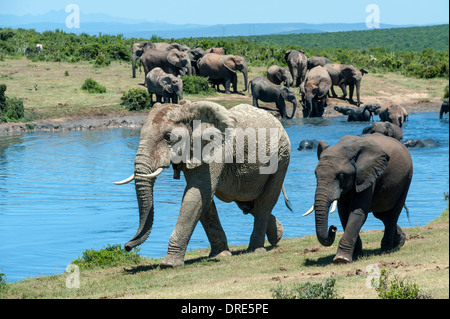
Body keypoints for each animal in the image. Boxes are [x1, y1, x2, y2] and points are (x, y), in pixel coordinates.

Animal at [113, 101, 292, 268]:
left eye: (168, 137)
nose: (127, 247)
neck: (189, 111)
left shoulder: (214, 150)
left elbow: (196, 195)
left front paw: (168, 264)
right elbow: (204, 199)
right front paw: (220, 255)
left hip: (282, 157)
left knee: (264, 203)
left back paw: (255, 249)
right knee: (247, 204)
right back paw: (278, 235)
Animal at [304, 134, 414, 264]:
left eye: (341, 176)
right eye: (316, 174)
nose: (333, 228)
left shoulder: (367, 174)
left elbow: (357, 212)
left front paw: (341, 259)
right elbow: (344, 214)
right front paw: (356, 256)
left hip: (407, 178)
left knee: (392, 214)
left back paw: (386, 250)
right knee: (382, 215)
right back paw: (399, 242)